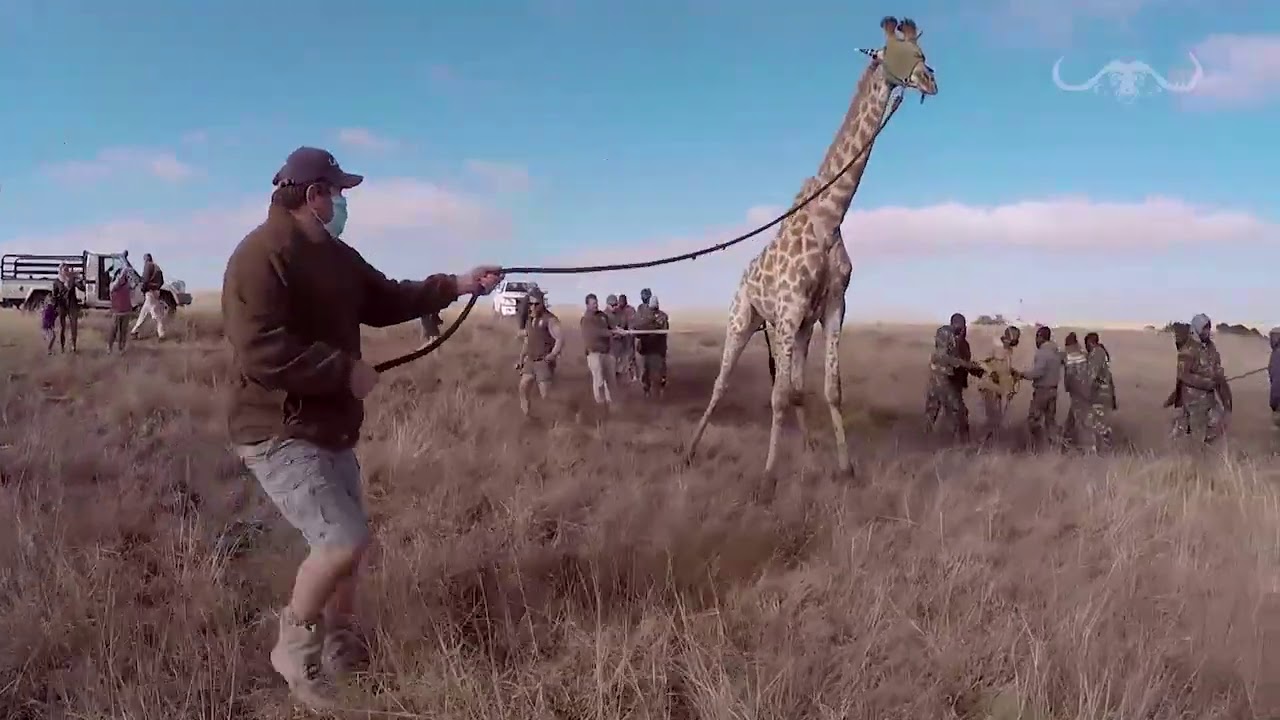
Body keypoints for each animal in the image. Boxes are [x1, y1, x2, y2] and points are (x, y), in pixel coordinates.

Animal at [685, 16, 937, 478]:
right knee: (723, 383)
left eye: (921, 50)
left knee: (798, 387)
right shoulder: (788, 310)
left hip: (798, 328)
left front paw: (845, 467)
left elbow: (828, 389)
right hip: (744, 318)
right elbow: (778, 395)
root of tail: (743, 275)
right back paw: (691, 450)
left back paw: (808, 450)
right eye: (893, 50)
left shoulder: (833, 307)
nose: (931, 80)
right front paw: (769, 475)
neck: (829, 218)